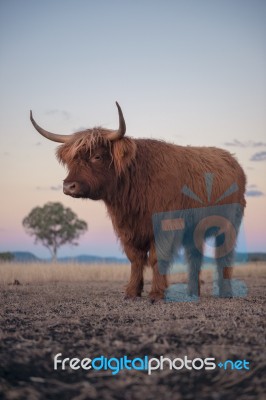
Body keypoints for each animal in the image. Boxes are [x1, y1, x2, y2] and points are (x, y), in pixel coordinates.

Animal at [30, 101, 246, 302]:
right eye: (72, 160)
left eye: (97, 156)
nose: (69, 186)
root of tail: (232, 160)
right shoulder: (126, 228)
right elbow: (135, 259)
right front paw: (132, 292)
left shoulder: (164, 225)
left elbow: (158, 257)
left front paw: (157, 294)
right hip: (195, 230)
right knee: (195, 256)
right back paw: (192, 293)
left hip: (229, 225)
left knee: (224, 255)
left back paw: (226, 292)